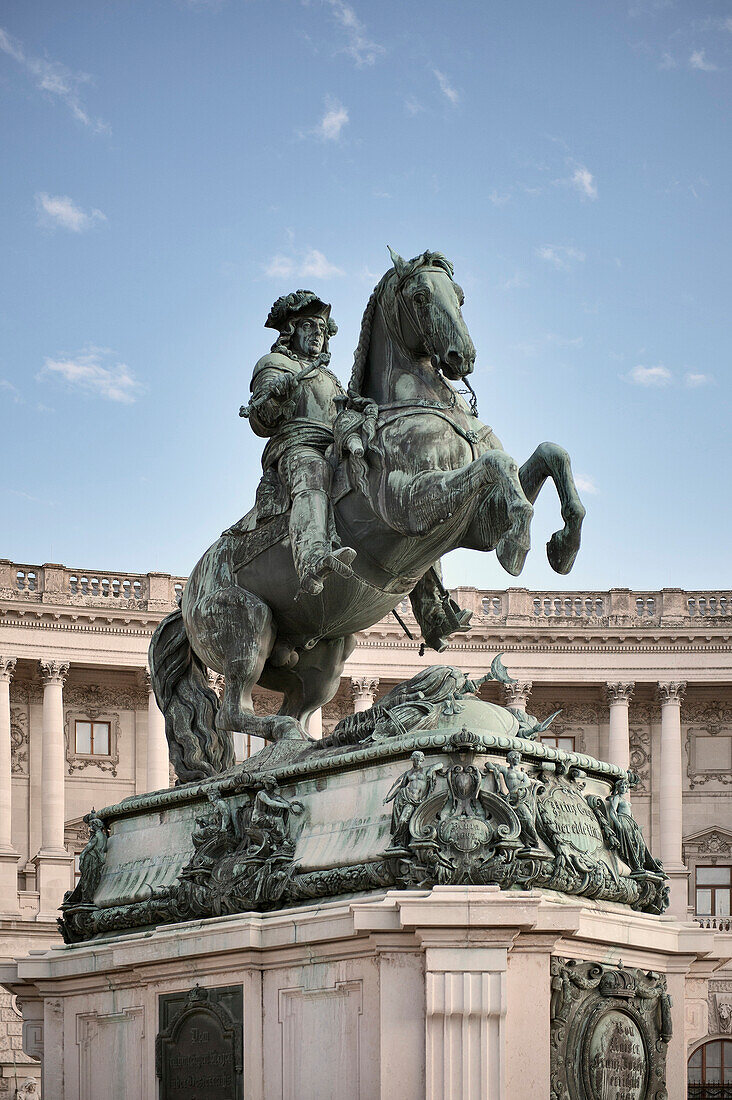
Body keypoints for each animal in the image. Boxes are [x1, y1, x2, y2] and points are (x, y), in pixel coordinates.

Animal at [148, 249, 581, 783]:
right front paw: (518, 542)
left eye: (459, 296)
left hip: (324, 660)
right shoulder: (411, 504)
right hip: (246, 626)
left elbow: (550, 454)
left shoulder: (473, 520)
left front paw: (564, 544)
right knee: (234, 710)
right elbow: (497, 467)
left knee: (293, 710)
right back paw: (286, 740)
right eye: (420, 296)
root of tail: (185, 597)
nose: (462, 358)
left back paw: (315, 745)